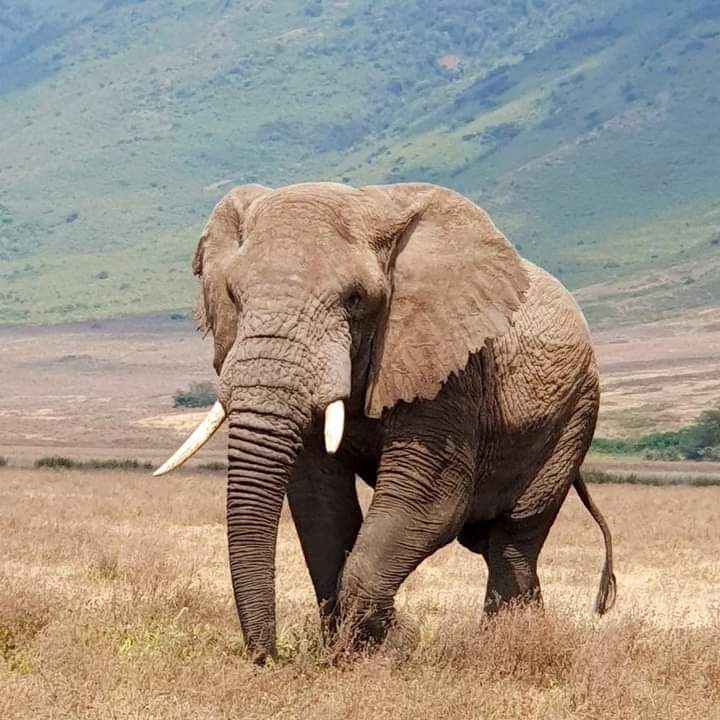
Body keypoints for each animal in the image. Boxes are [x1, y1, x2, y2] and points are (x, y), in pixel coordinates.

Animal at [155, 181, 616, 664]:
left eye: (355, 299)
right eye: (234, 295)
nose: (269, 659)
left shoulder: (447, 364)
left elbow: (430, 499)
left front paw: (394, 645)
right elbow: (320, 500)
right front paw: (352, 651)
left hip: (574, 413)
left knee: (514, 537)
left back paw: (507, 645)